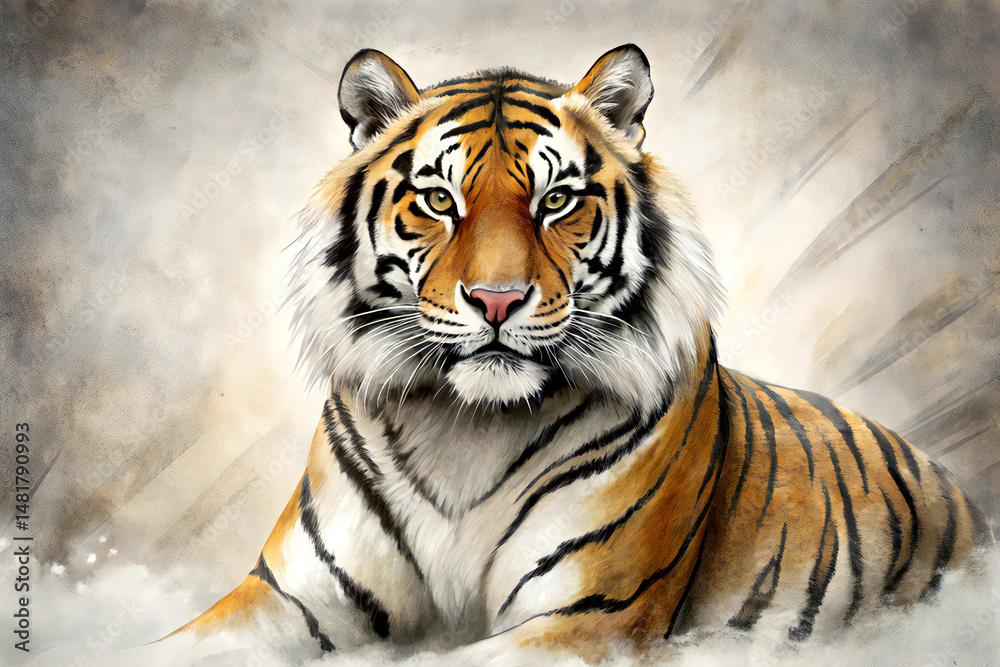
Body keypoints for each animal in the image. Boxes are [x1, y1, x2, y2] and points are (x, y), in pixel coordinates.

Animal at [162, 44, 995, 662]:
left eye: (555, 200)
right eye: (439, 201)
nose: (496, 300)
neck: (465, 428)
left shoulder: (590, 613)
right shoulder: (290, 597)